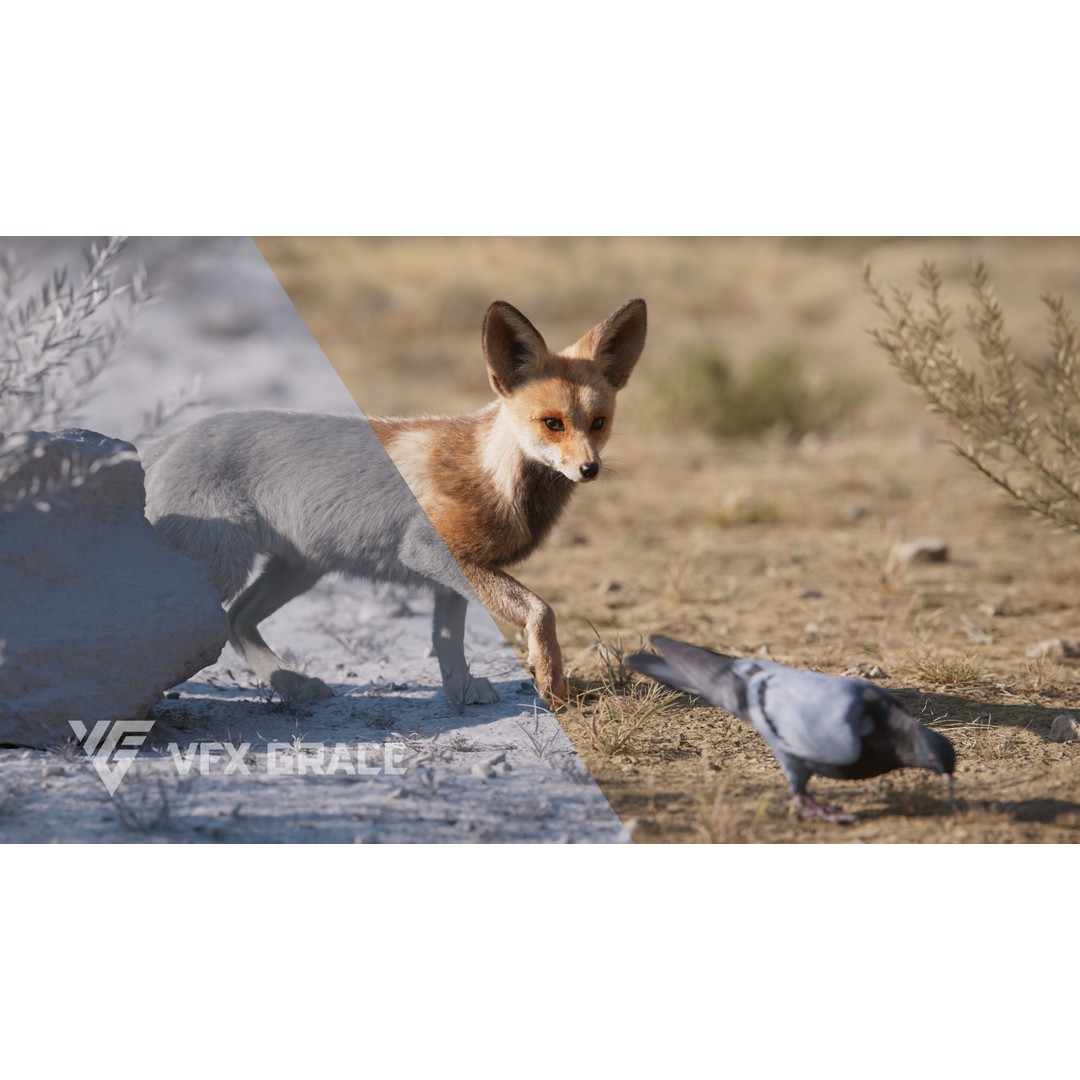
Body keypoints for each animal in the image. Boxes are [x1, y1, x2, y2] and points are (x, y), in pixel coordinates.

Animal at [142, 298, 646, 710]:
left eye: (598, 423)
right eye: (552, 423)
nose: (589, 469)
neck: (497, 475)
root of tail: (176, 436)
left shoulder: (455, 575)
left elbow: (448, 643)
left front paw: (462, 692)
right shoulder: (428, 549)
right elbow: (540, 610)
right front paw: (550, 678)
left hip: (298, 570)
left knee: (237, 622)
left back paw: (291, 684)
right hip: (226, 567)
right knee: (201, 621)